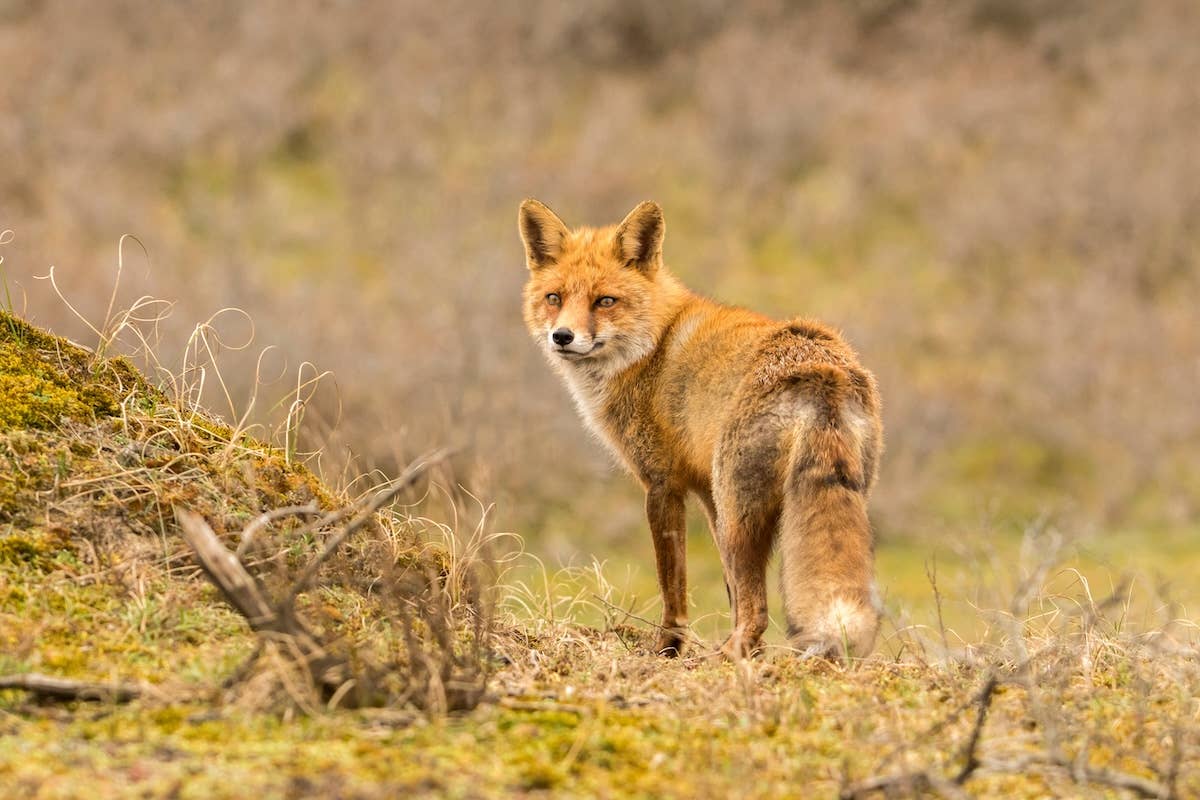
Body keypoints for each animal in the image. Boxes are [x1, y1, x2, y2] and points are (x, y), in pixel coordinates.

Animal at [519, 199, 884, 660]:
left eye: (605, 301)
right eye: (554, 298)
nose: (562, 336)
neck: (650, 346)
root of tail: (822, 369)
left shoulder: (662, 484)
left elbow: (673, 584)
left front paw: (669, 647)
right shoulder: (706, 495)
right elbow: (729, 591)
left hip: (738, 515)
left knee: (758, 608)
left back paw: (731, 654)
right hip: (800, 503)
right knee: (753, 600)